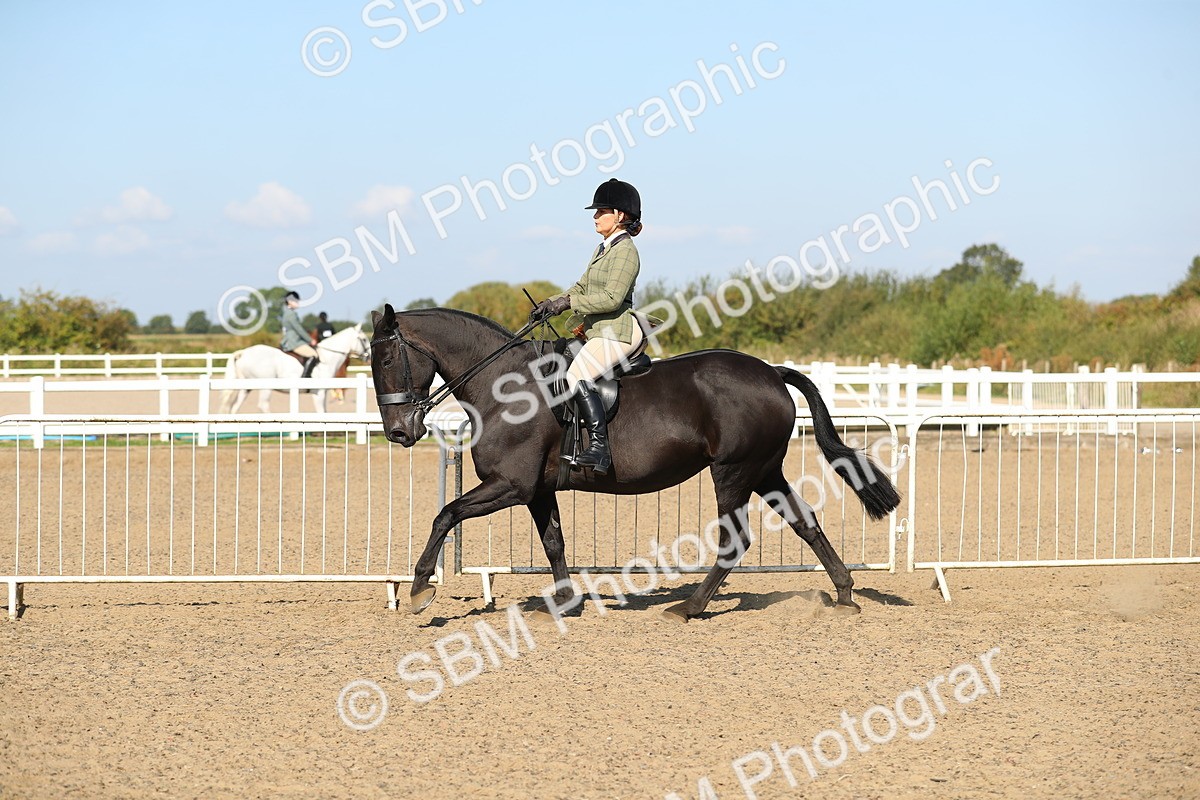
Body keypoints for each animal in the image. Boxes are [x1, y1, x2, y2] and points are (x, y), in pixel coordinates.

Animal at [218, 324, 370, 414]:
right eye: (364, 339)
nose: (369, 356)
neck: (327, 358)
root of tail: (243, 352)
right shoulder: (319, 393)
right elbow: (321, 412)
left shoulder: (323, 393)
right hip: (265, 386)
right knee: (263, 405)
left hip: (246, 387)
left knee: (235, 406)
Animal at [370, 305, 900, 622]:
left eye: (388, 360)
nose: (399, 433)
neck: (505, 388)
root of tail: (770, 371)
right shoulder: (538, 491)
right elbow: (554, 543)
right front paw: (564, 602)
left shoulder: (510, 486)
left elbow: (446, 514)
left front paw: (419, 590)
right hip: (764, 471)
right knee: (805, 523)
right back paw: (844, 594)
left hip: (732, 472)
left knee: (735, 541)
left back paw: (689, 607)